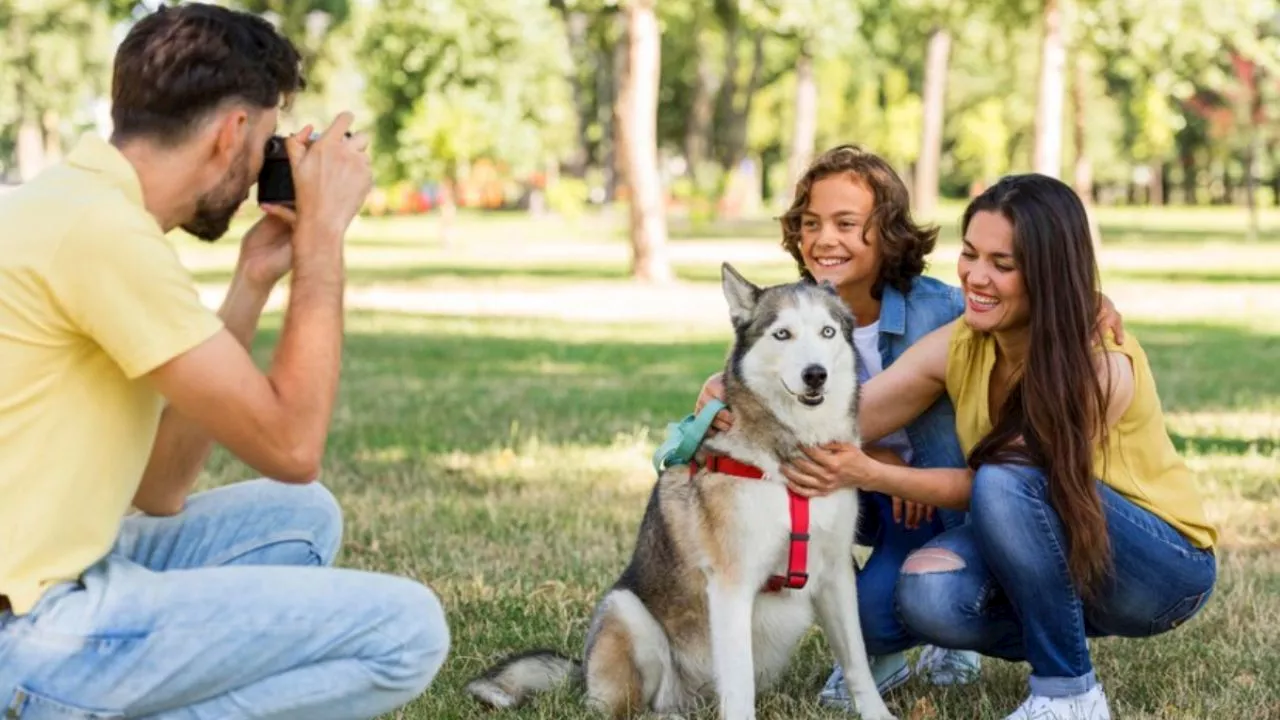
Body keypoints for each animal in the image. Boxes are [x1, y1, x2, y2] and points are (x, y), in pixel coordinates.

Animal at [465, 263, 896, 717]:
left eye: (827, 332)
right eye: (783, 334)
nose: (815, 374)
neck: (788, 458)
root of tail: (582, 670)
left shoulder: (836, 576)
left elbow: (857, 664)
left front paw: (878, 714)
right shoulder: (731, 584)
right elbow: (738, 684)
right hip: (627, 612)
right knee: (630, 708)